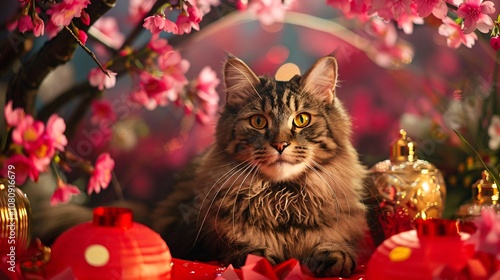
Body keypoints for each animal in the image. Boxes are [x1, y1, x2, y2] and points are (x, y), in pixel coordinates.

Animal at [154, 54, 370, 278]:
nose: (280, 144)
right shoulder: (189, 233)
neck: (283, 199)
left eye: (302, 119)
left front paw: (335, 255)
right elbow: (236, 247)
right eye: (258, 121)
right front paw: (257, 257)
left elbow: (335, 242)